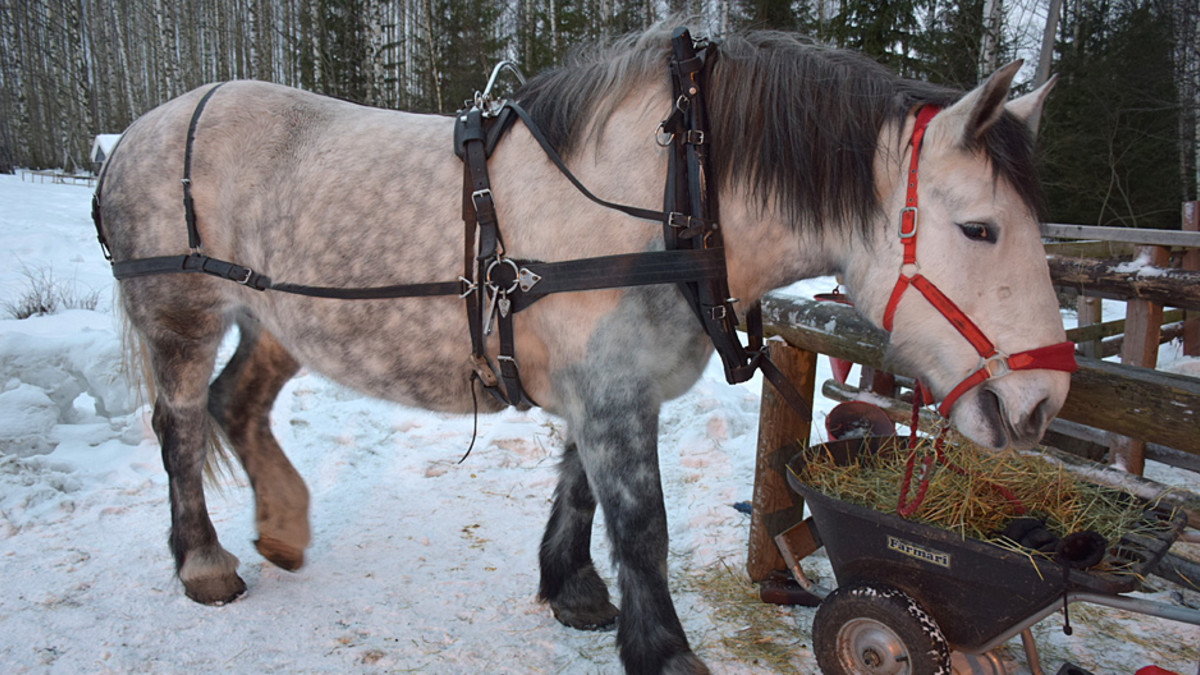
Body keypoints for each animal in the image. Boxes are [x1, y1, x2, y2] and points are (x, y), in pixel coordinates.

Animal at [93, 23, 1070, 667]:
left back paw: (283, 529)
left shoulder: (607, 390)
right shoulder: (611, 394)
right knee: (181, 427)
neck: (676, 196)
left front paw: (572, 590)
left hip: (276, 319)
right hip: (181, 314)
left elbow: (580, 492)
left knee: (236, 405)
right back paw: (206, 562)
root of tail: (134, 131)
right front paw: (664, 648)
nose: (1042, 403)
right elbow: (642, 524)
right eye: (979, 228)